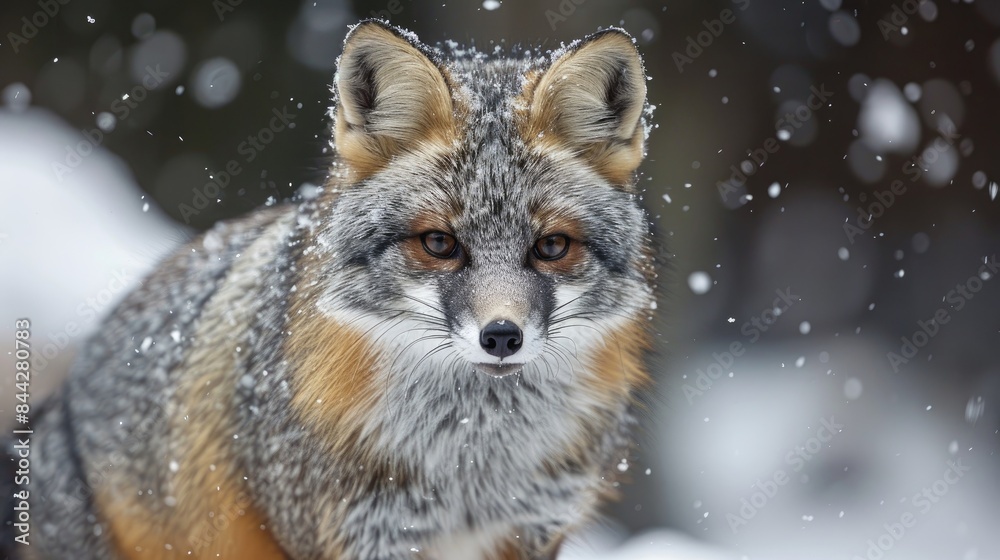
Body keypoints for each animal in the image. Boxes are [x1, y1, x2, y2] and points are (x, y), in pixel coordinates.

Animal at [5, 19, 655, 560]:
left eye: (552, 247)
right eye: (439, 243)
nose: (501, 336)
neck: (471, 465)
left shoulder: (534, 529)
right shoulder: (348, 534)